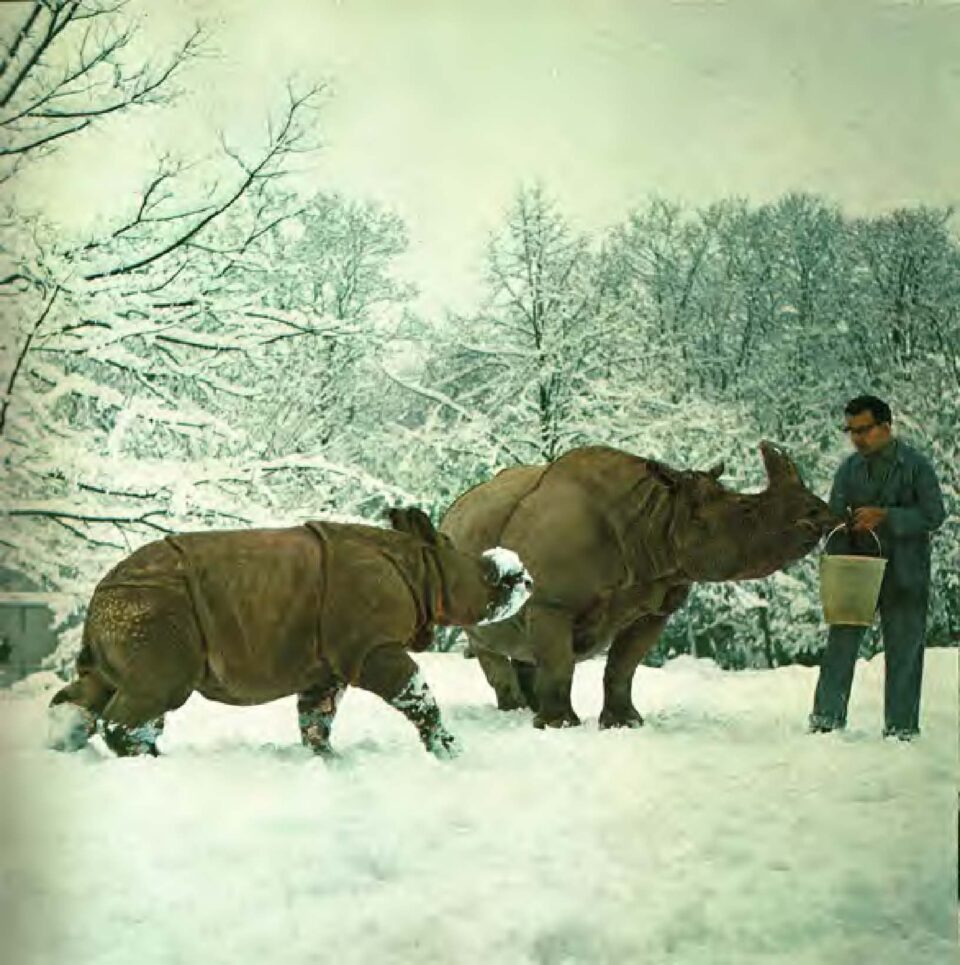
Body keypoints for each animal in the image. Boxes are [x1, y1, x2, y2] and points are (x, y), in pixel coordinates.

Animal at [47, 508, 532, 758]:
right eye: (491, 578)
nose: (524, 578)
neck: (425, 564)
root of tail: (98, 593)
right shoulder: (370, 647)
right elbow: (416, 693)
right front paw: (450, 752)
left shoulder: (329, 663)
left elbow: (317, 716)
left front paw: (326, 761)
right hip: (153, 605)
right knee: (160, 687)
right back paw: (149, 762)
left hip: (129, 606)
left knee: (97, 687)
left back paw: (64, 746)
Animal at [432, 442, 837, 729]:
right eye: (748, 511)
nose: (820, 517)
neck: (657, 517)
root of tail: (454, 508)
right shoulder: (552, 602)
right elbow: (561, 664)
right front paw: (559, 727)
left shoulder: (655, 605)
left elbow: (623, 668)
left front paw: (624, 724)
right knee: (488, 643)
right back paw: (515, 712)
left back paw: (528, 710)